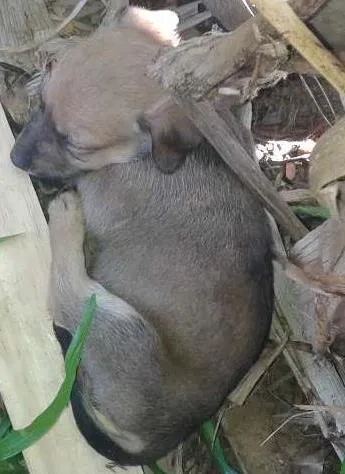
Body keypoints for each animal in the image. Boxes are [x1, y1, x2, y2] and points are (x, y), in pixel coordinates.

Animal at [10, 6, 272, 466]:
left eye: (76, 145)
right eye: (42, 104)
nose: (14, 158)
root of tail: (171, 431)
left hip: (116, 319)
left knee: (65, 296)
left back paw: (64, 219)